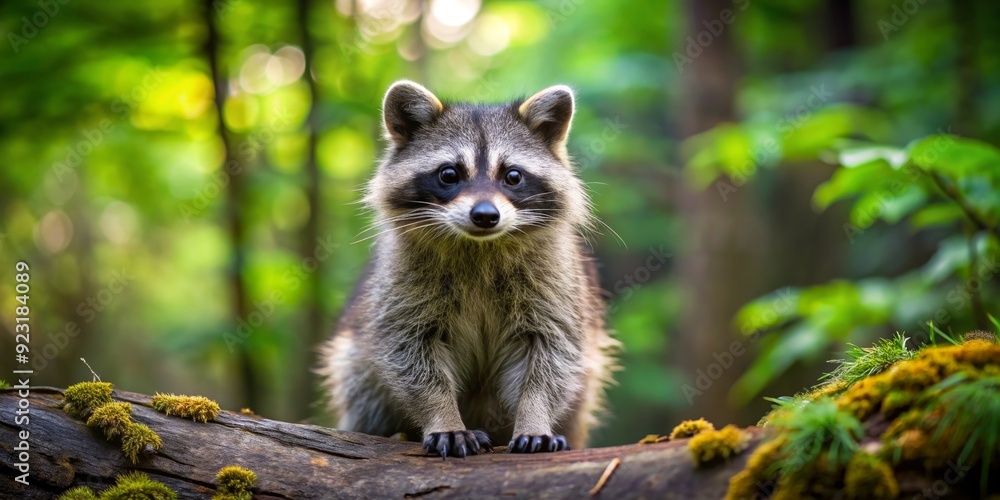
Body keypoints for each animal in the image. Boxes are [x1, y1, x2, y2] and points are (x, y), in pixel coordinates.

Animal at [317, 81, 618, 458]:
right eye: (449, 174)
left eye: (513, 176)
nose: (486, 215)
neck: (480, 246)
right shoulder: (401, 287)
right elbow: (411, 356)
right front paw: (444, 417)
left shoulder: (557, 284)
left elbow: (552, 357)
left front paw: (535, 417)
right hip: (355, 359)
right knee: (359, 377)